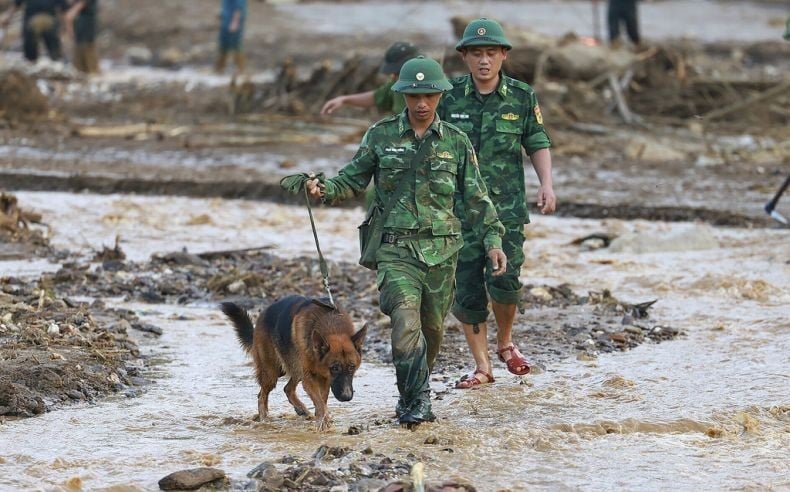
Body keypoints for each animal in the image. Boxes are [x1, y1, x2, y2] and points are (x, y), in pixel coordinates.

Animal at [220, 296, 368, 430]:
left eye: (352, 367)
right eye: (335, 368)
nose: (347, 397)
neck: (332, 327)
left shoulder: (324, 378)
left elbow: (322, 401)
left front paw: (322, 418)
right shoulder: (310, 379)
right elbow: (320, 402)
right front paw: (323, 421)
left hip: (294, 368)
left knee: (287, 388)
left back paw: (301, 409)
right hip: (273, 372)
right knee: (262, 396)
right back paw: (264, 420)